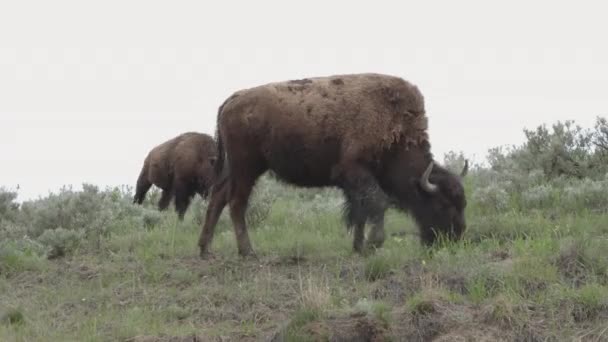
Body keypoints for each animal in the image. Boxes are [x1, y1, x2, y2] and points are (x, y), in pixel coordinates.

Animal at [197, 73, 468, 258]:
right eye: (443, 204)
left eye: (462, 203)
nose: (455, 238)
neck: (396, 129)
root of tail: (233, 99)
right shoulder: (355, 171)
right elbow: (376, 204)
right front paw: (374, 243)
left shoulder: (354, 182)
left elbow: (360, 211)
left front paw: (358, 247)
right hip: (246, 168)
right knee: (236, 203)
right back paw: (247, 251)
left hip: (236, 169)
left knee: (218, 198)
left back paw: (206, 249)